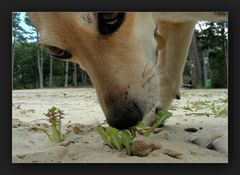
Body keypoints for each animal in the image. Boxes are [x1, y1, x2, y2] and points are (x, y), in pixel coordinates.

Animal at [29, 12, 228, 154]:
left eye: (109, 15)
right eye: (55, 51)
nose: (123, 120)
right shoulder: (176, 24)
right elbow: (167, 76)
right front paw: (156, 116)